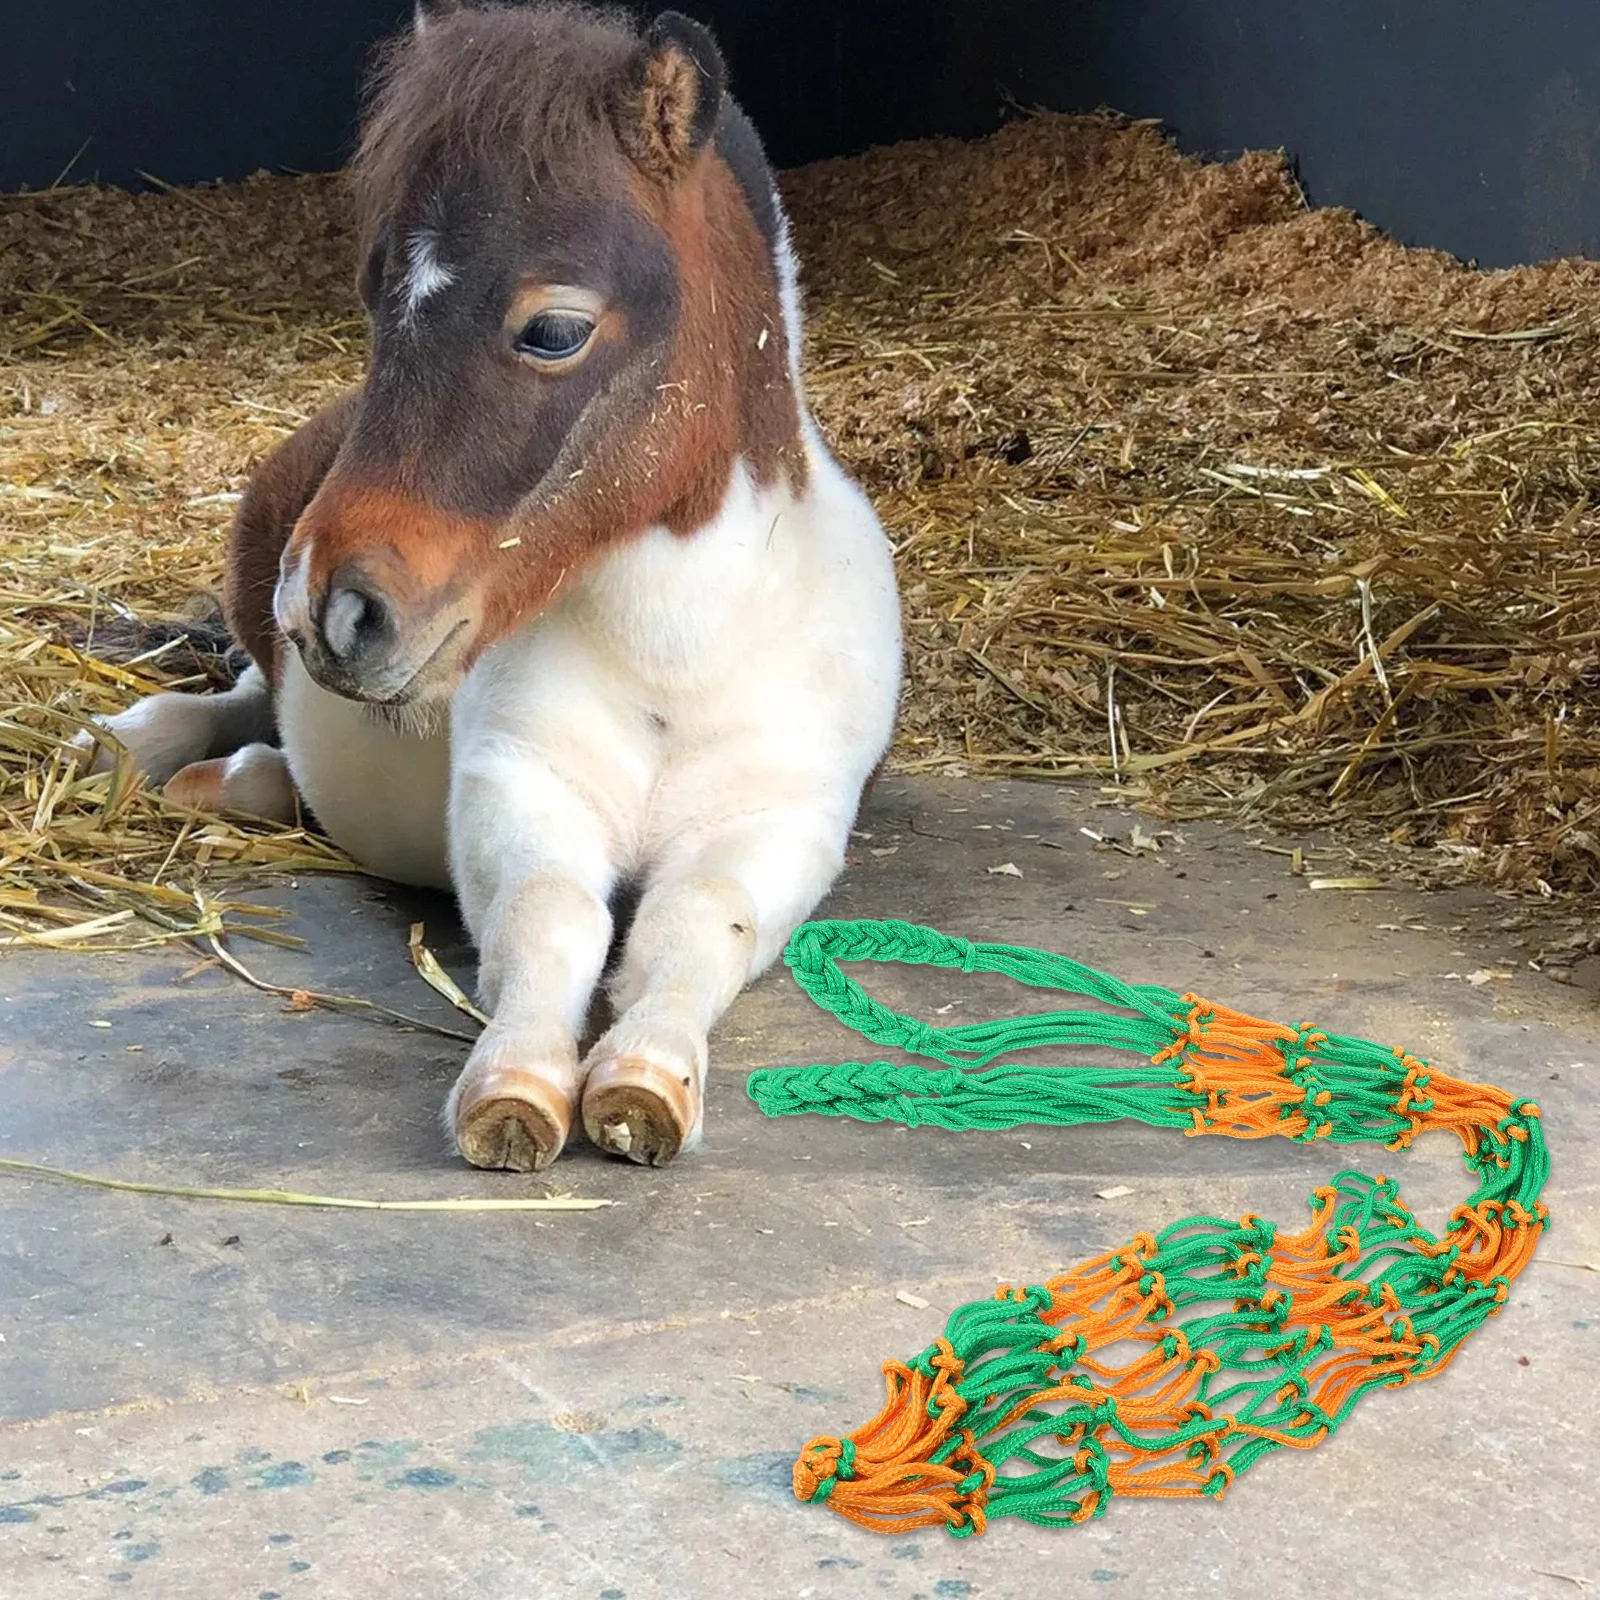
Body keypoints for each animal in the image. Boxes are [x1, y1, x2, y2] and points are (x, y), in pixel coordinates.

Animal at [78, 1, 902, 1173]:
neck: (676, 653)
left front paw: (647, 1079)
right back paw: (138, 748)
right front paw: (515, 1089)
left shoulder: (780, 823)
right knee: (236, 690)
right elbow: (552, 919)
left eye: (553, 328)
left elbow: (696, 922)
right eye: (377, 299)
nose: (330, 608)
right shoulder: (518, 791)